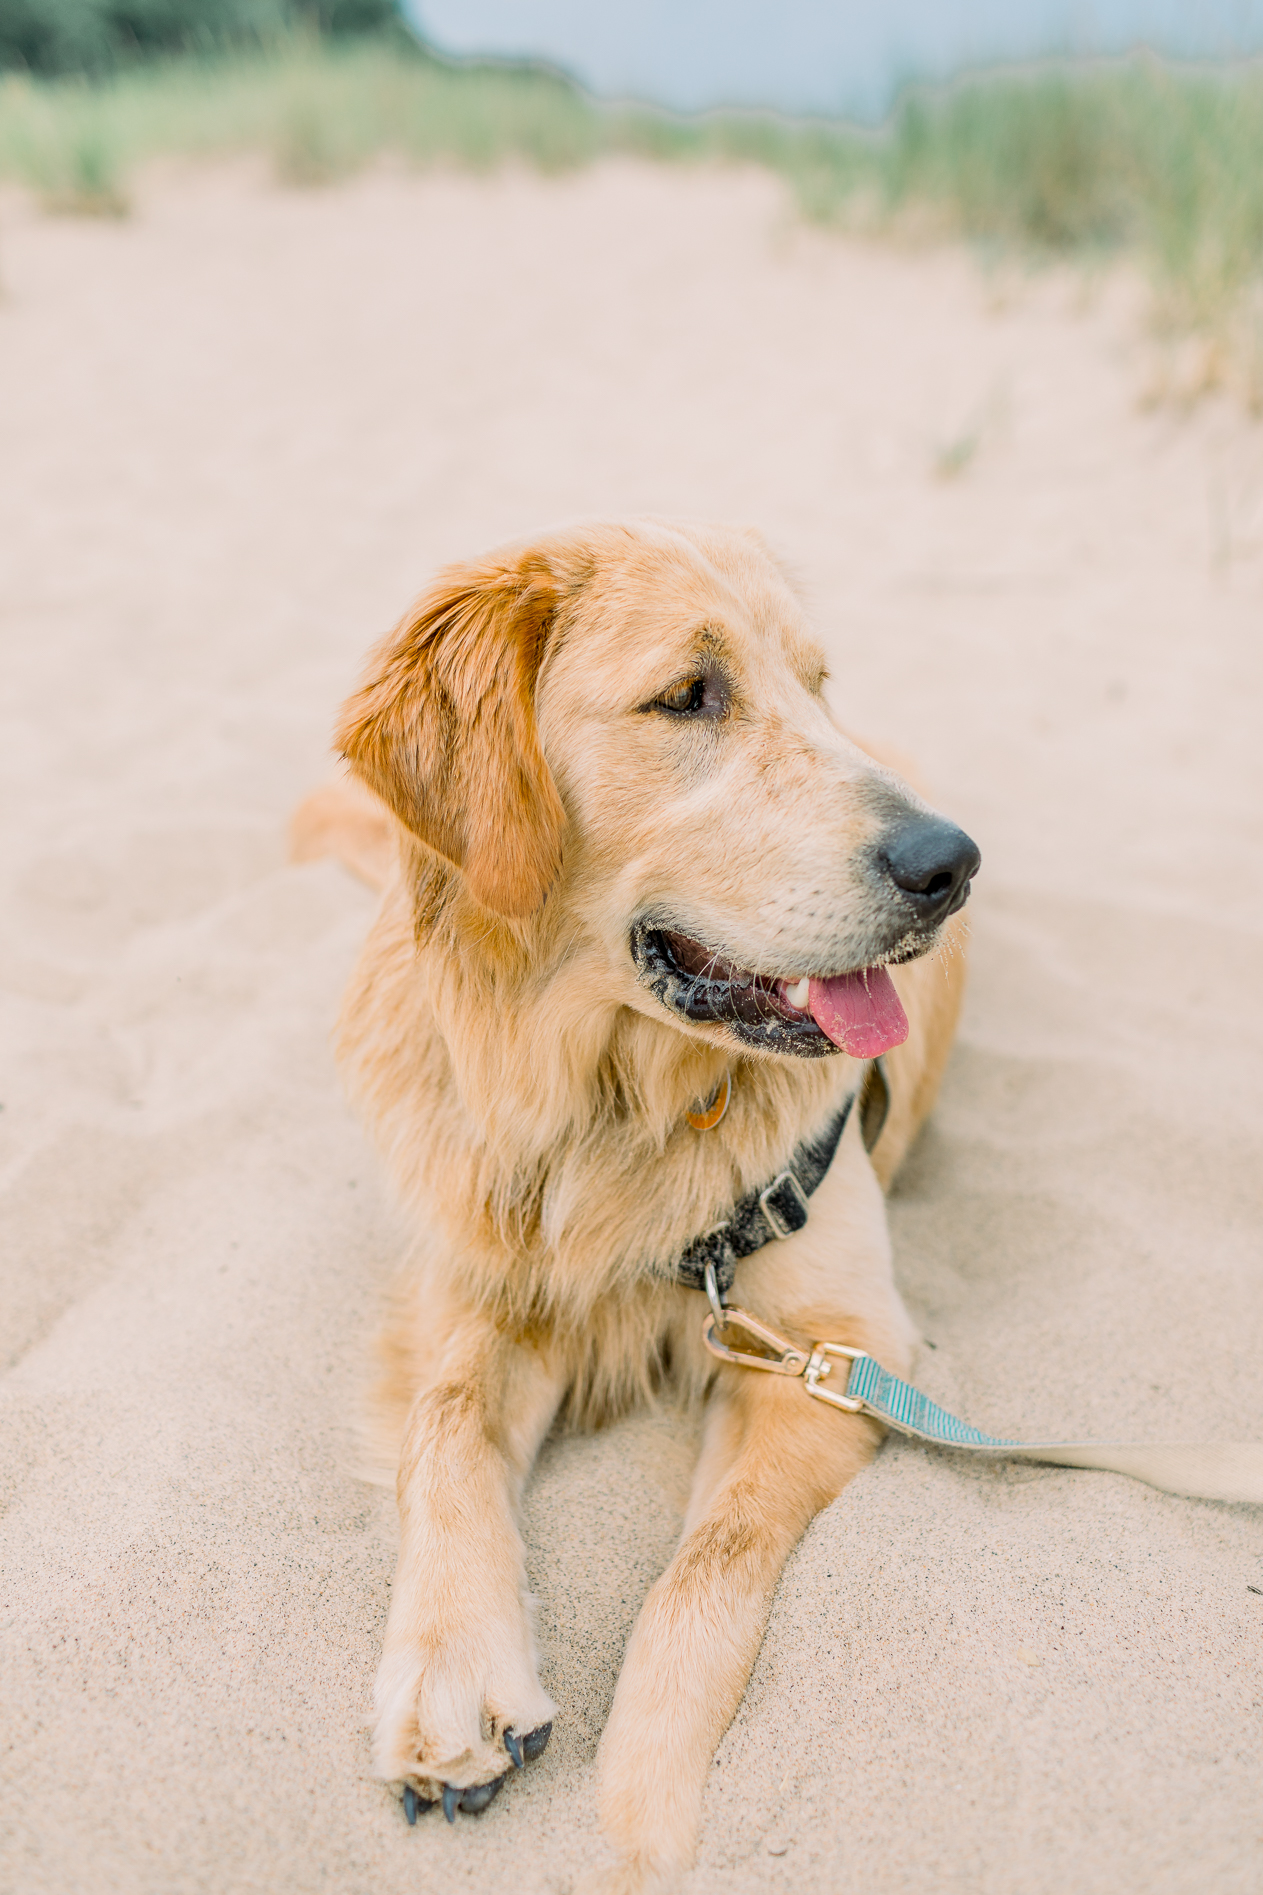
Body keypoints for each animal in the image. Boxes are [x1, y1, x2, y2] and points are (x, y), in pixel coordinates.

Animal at [292, 511, 970, 1887]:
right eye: (689, 695)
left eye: (817, 686)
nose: (954, 861)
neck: (612, 1103)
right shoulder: (478, 1277)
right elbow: (445, 1432)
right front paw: (450, 1674)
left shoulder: (837, 1348)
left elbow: (701, 1574)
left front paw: (636, 1824)